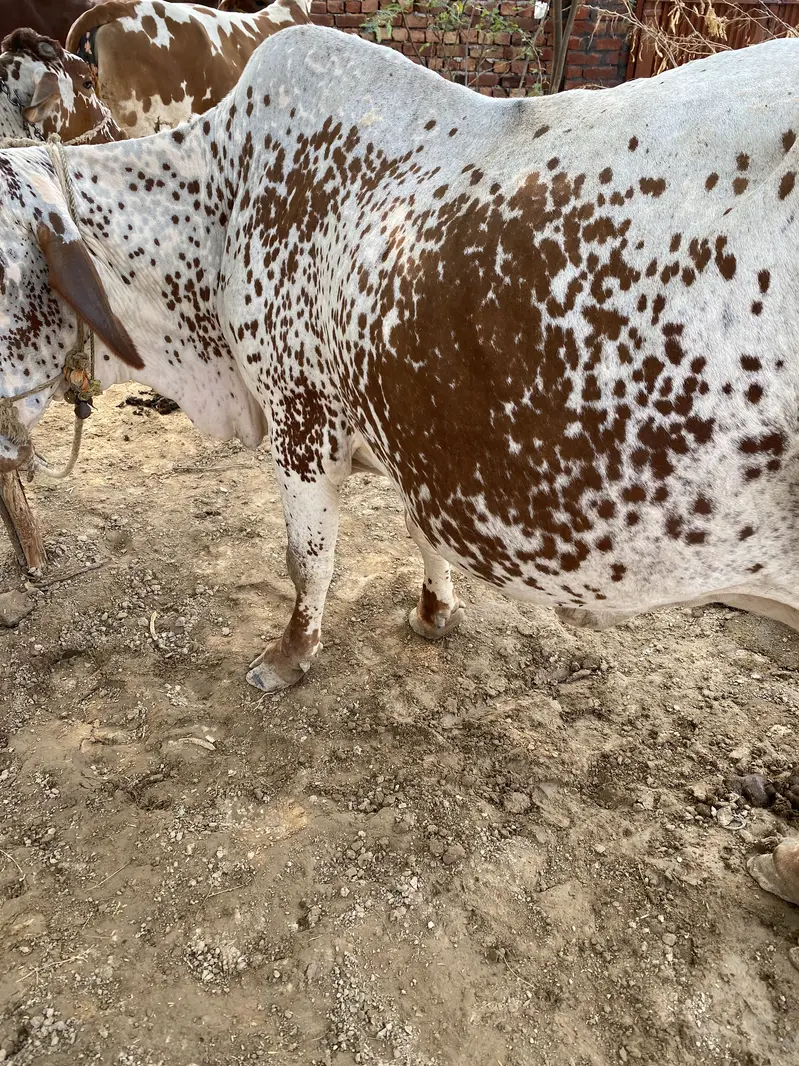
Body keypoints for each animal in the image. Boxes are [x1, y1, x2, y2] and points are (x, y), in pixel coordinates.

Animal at [2, 26, 799, 694]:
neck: (220, 210)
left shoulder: (302, 417)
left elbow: (308, 557)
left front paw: (289, 656)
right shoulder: (406, 425)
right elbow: (420, 529)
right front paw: (434, 611)